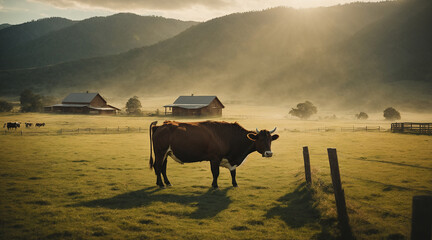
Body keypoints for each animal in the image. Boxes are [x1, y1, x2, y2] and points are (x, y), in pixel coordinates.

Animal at [148, 121, 280, 188]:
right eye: (260, 140)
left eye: (270, 140)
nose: (269, 153)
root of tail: (159, 126)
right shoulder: (214, 158)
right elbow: (216, 173)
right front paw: (215, 185)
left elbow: (233, 173)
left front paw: (235, 184)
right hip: (160, 152)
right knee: (158, 166)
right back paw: (161, 184)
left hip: (166, 153)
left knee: (163, 168)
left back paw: (166, 182)